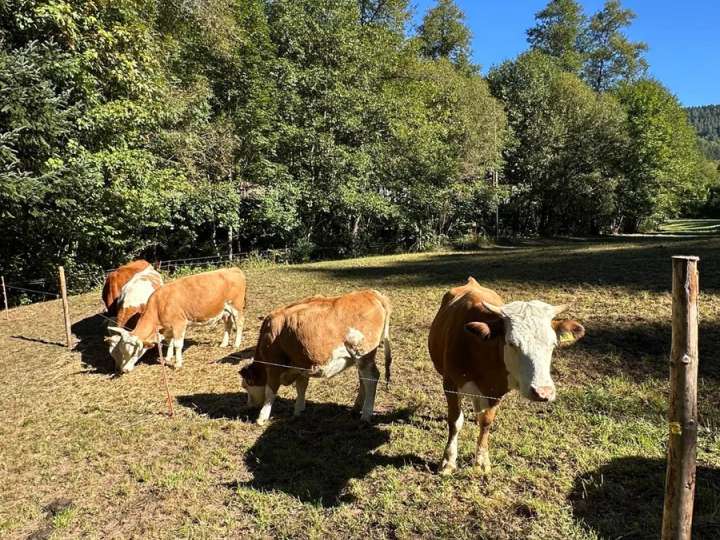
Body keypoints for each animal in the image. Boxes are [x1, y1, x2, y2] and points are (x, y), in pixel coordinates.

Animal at [106, 268, 246, 373]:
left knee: (239, 323)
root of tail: (233, 269)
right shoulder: (168, 327)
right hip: (224, 310)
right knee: (228, 323)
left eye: (133, 352)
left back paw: (236, 343)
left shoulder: (179, 323)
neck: (159, 305)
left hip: (236, 306)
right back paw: (224, 343)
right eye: (121, 351)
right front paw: (168, 358)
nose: (124, 370)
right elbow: (170, 342)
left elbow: (178, 344)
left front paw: (178, 364)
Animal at [240, 290, 392, 425]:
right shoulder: (300, 364)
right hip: (360, 359)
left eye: (246, 386)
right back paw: (356, 408)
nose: (248, 405)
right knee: (363, 379)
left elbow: (270, 392)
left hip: (362, 353)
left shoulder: (274, 366)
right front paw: (298, 410)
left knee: (371, 378)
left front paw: (262, 417)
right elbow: (301, 387)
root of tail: (370, 293)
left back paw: (366, 414)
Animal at [428, 277, 585, 475]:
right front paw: (448, 461)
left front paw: (481, 461)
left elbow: (486, 422)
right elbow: (455, 422)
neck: (480, 349)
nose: (543, 392)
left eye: (553, 344)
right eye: (511, 343)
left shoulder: (496, 391)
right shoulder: (450, 385)